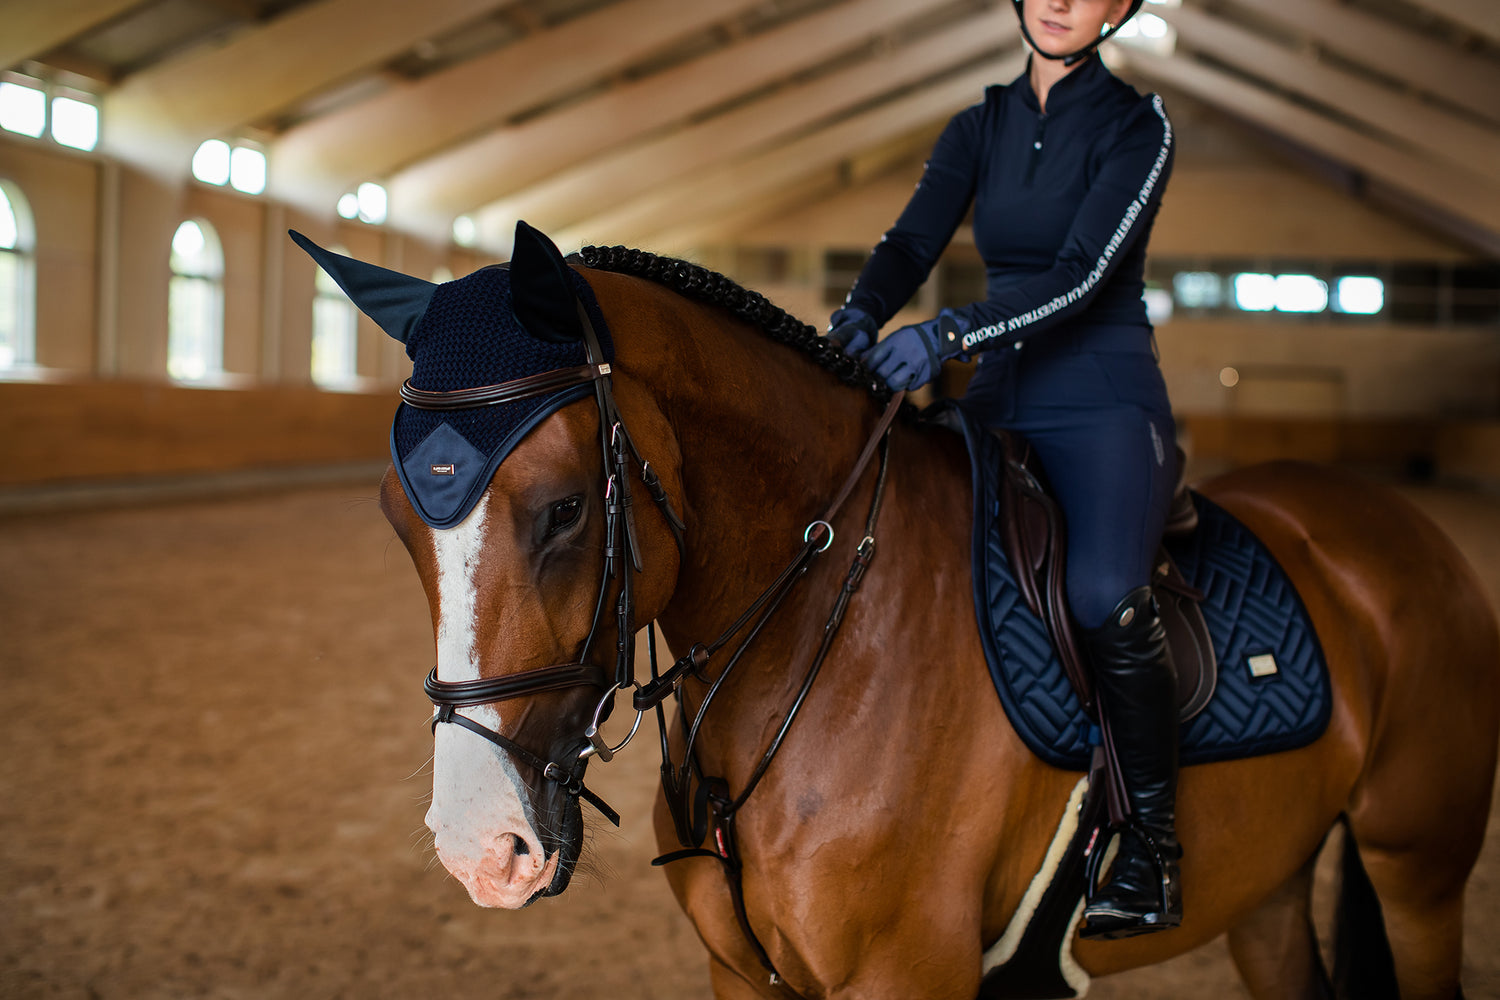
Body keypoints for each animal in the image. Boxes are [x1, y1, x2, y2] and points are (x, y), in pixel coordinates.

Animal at [372, 238, 1488, 995]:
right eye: (396, 517)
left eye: (565, 508)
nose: (480, 848)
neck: (827, 636)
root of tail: (1400, 525)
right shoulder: (742, 975)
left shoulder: (904, 976)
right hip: (1270, 887)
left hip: (1420, 871)